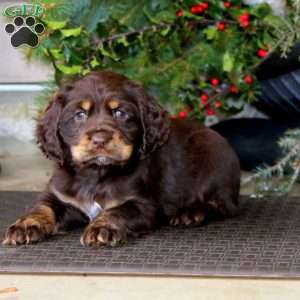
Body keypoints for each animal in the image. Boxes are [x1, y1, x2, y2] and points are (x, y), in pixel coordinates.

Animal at [3, 71, 240, 246]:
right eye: (79, 114)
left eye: (120, 113)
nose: (100, 139)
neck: (96, 173)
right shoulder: (58, 194)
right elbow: (41, 207)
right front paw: (25, 225)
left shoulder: (143, 204)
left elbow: (119, 210)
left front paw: (102, 227)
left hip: (213, 157)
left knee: (220, 205)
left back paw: (189, 213)